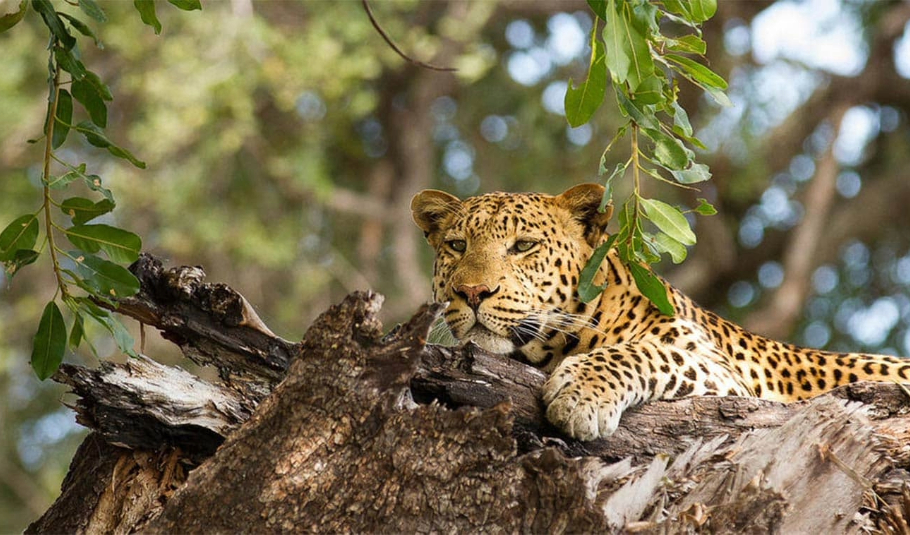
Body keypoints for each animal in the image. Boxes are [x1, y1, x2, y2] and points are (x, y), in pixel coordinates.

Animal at [414, 182, 910, 442]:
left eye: (523, 246)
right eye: (456, 246)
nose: (472, 292)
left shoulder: (725, 376)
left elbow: (645, 353)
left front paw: (580, 394)